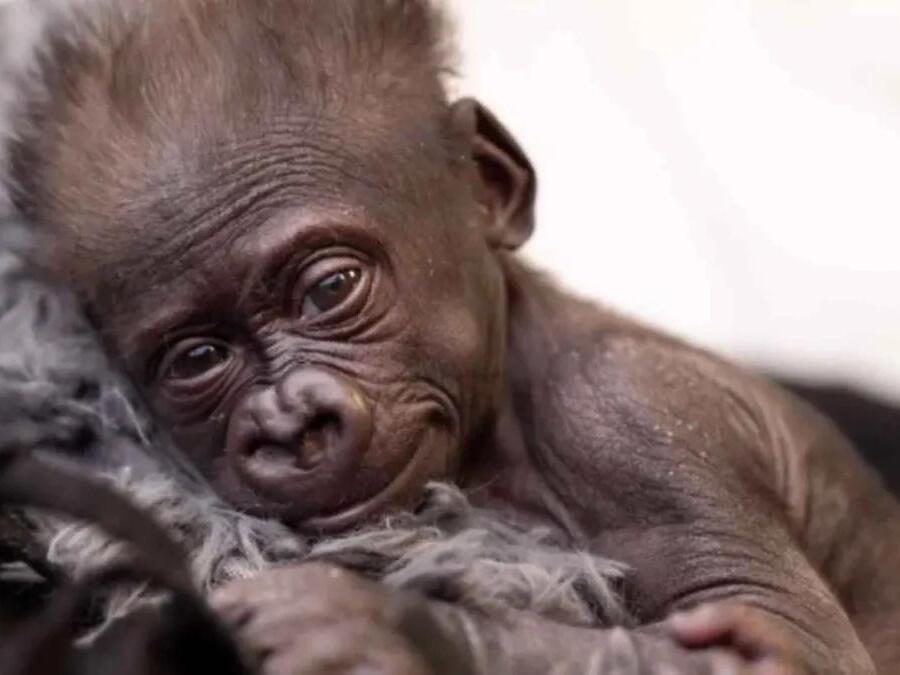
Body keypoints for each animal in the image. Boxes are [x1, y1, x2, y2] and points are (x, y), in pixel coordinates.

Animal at [3, 0, 899, 673]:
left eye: (331, 288)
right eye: (199, 357)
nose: (291, 423)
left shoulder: (634, 421)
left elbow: (787, 647)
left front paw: (391, 628)